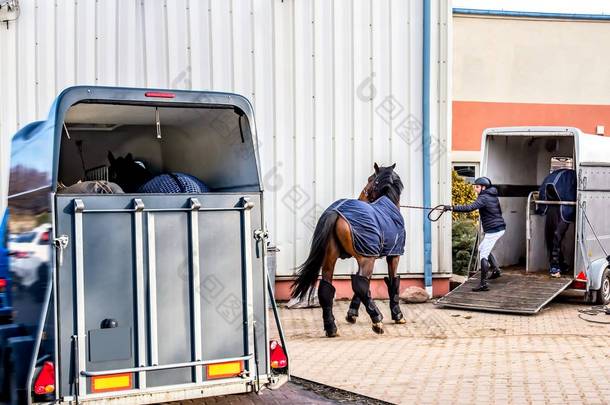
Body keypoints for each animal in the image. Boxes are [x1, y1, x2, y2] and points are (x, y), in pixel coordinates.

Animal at [290, 163, 404, 336]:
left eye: (370, 179)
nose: (361, 197)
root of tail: (335, 212)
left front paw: (351, 314)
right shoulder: (392, 255)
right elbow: (391, 281)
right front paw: (397, 314)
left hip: (331, 257)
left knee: (327, 288)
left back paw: (331, 327)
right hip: (366, 259)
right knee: (361, 286)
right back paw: (377, 320)